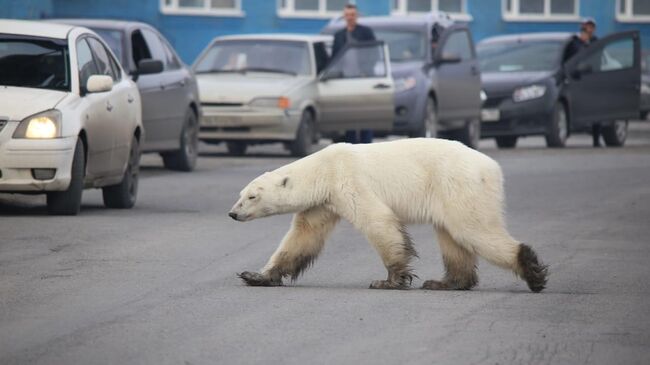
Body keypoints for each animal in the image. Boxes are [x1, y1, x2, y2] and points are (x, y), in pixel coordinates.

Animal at [229, 138, 548, 292]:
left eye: (252, 196)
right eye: (240, 194)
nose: (232, 213)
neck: (324, 169)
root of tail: (492, 167)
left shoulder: (349, 181)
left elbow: (378, 222)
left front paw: (389, 280)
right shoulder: (323, 202)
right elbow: (302, 237)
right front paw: (255, 275)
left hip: (458, 184)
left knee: (473, 229)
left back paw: (532, 272)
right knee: (452, 238)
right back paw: (445, 282)